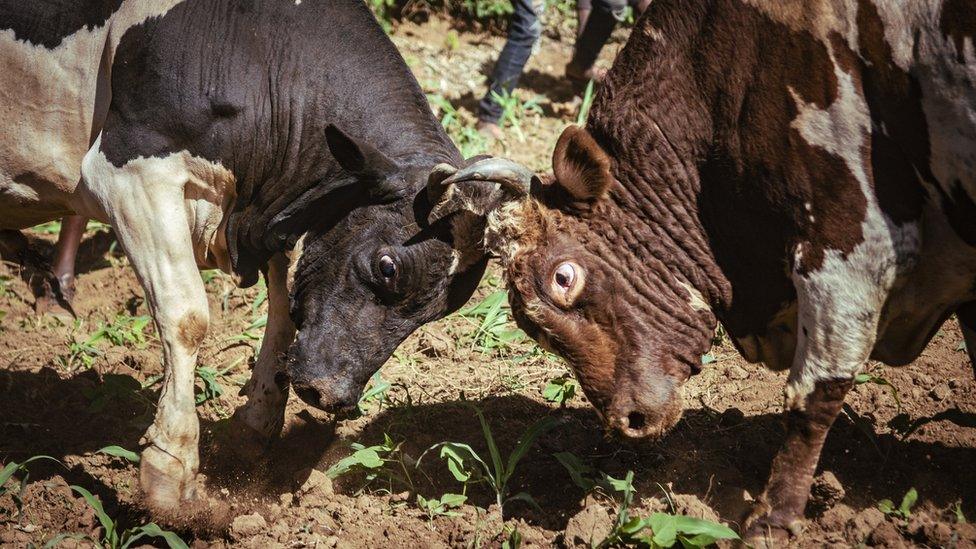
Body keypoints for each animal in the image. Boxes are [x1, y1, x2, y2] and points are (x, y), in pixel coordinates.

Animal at [1, 0, 532, 512]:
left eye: (440, 311)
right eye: (388, 267)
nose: (332, 396)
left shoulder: (278, 210)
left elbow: (284, 313)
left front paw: (253, 428)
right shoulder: (129, 172)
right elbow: (187, 317)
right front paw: (171, 478)